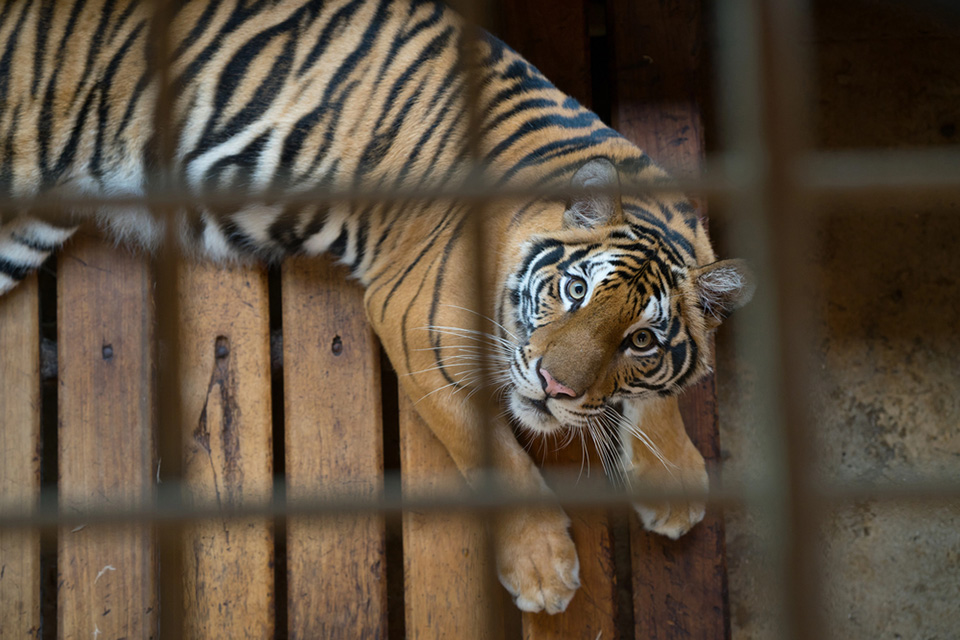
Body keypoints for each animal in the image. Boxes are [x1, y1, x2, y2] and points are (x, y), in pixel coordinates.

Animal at [0, 0, 752, 616]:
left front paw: (675, 483)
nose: (554, 387)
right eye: (574, 291)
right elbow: (492, 455)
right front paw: (543, 570)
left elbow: (658, 400)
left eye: (641, 341)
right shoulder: (416, 326)